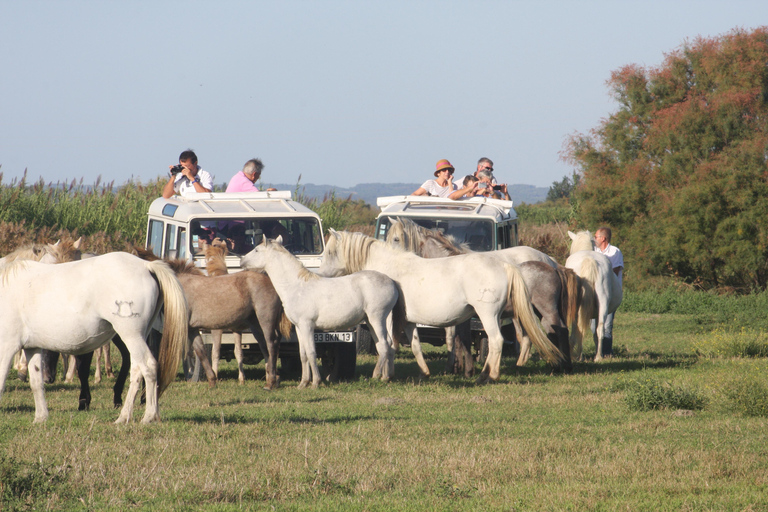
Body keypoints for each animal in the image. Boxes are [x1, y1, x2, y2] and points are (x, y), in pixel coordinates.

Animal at [0, 252, 188, 424]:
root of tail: (146, 266)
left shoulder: (7, 347)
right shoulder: (31, 347)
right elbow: (36, 382)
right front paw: (41, 418)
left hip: (130, 334)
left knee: (148, 366)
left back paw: (149, 416)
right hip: (138, 336)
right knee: (137, 369)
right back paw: (124, 417)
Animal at [242, 238, 402, 386]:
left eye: (256, 250)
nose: (242, 260)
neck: (297, 286)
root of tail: (391, 281)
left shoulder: (307, 325)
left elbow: (311, 352)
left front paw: (316, 382)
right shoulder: (299, 328)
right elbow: (303, 354)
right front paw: (303, 383)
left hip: (377, 318)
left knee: (384, 345)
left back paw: (376, 376)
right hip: (370, 320)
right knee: (385, 345)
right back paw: (386, 377)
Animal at [316, 230, 560, 382]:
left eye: (330, 252)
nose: (319, 275)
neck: (388, 267)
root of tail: (504, 265)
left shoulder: (386, 319)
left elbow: (386, 345)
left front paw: (383, 375)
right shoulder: (408, 321)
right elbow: (413, 346)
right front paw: (423, 373)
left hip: (488, 315)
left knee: (496, 341)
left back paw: (487, 376)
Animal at [564, 230, 624, 362]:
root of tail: (589, 260)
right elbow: (595, 334)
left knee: (579, 329)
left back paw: (580, 357)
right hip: (603, 304)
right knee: (600, 329)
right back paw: (598, 357)